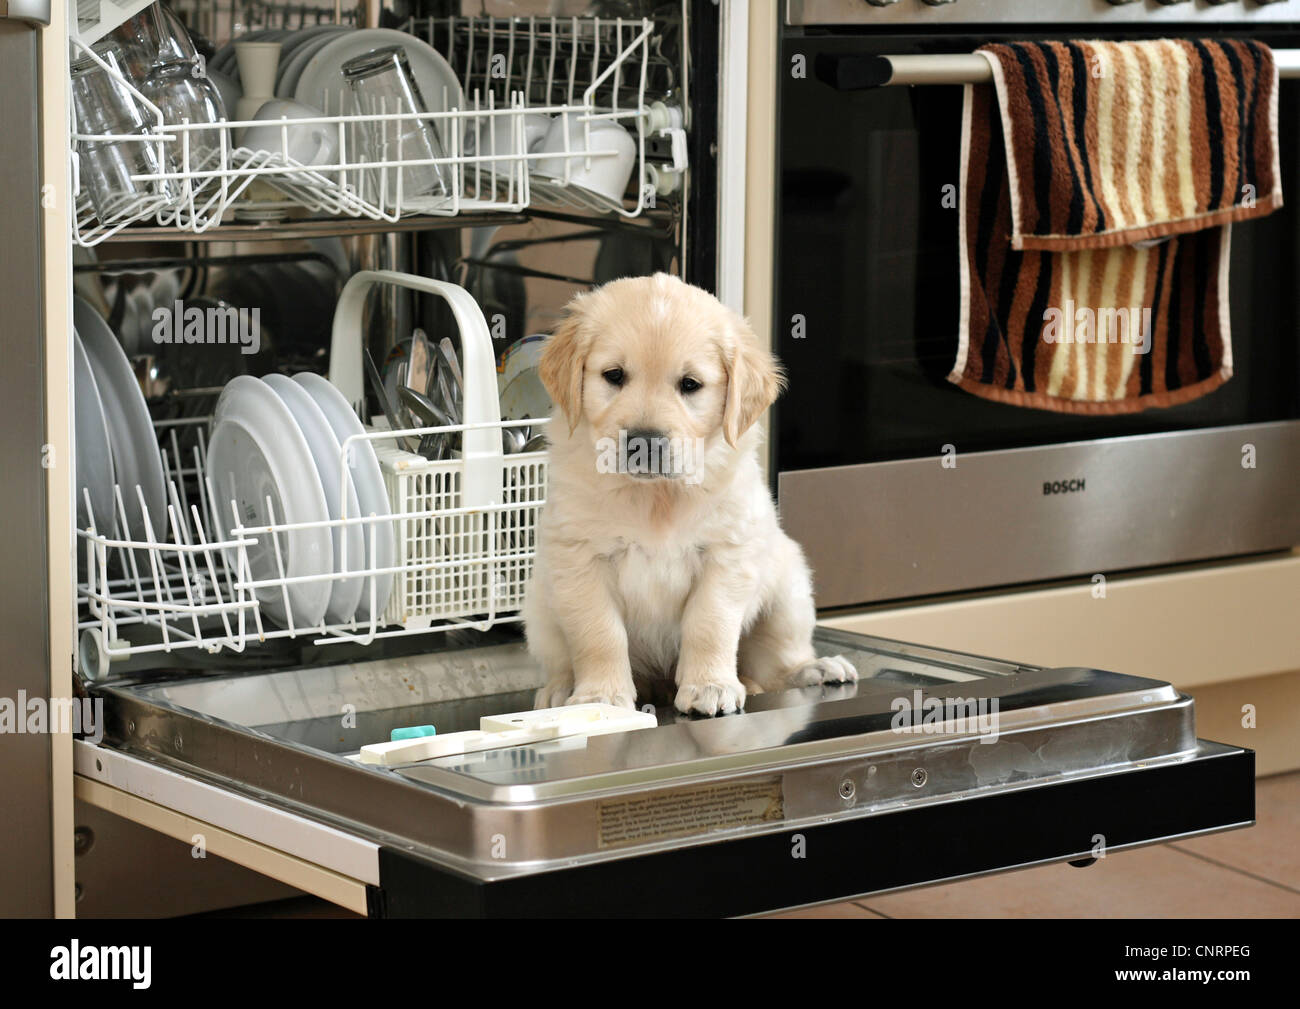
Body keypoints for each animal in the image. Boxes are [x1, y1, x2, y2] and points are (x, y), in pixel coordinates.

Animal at [522, 274, 857, 717]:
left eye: (690, 385)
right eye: (614, 375)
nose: (645, 441)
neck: (656, 498)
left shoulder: (727, 555)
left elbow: (709, 624)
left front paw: (709, 687)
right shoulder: (579, 559)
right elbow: (599, 634)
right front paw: (600, 696)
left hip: (789, 587)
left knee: (776, 662)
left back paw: (816, 668)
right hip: (540, 610)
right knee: (562, 659)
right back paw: (560, 690)